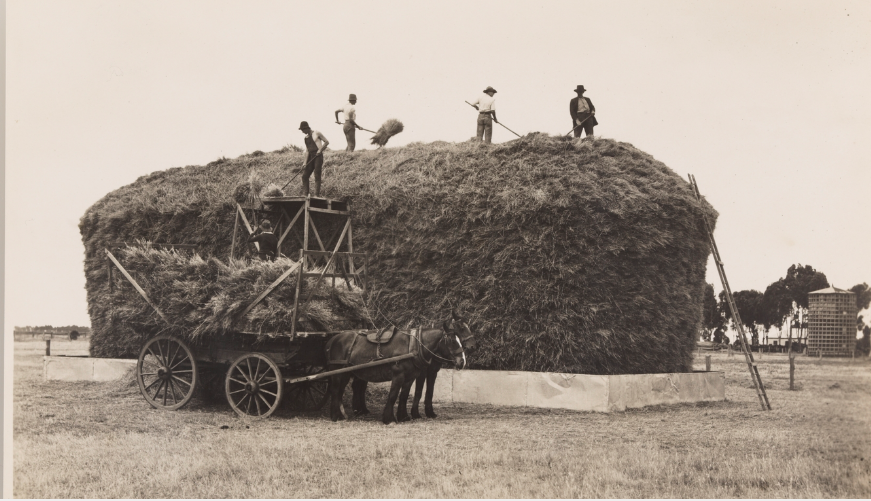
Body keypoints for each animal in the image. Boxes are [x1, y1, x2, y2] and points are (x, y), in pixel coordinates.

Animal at [326, 316, 470, 422]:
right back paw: (336, 416)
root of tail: (334, 338)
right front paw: (389, 418)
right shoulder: (398, 375)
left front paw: (403, 416)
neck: (414, 346)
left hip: (346, 373)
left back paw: (342, 414)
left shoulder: (410, 377)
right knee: (335, 390)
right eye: (452, 341)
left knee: (341, 391)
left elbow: (404, 396)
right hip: (338, 373)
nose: (462, 361)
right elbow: (393, 395)